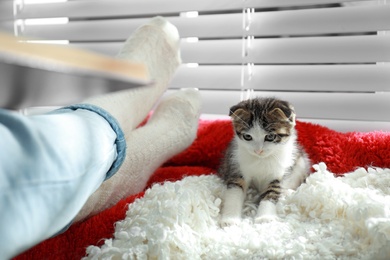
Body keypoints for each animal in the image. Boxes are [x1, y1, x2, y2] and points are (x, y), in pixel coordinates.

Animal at [218, 97, 310, 225]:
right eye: (247, 136)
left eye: (270, 137)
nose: (258, 150)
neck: (261, 159)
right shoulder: (236, 165)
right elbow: (234, 191)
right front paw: (230, 219)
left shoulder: (278, 173)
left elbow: (271, 192)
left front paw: (265, 217)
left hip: (301, 162)